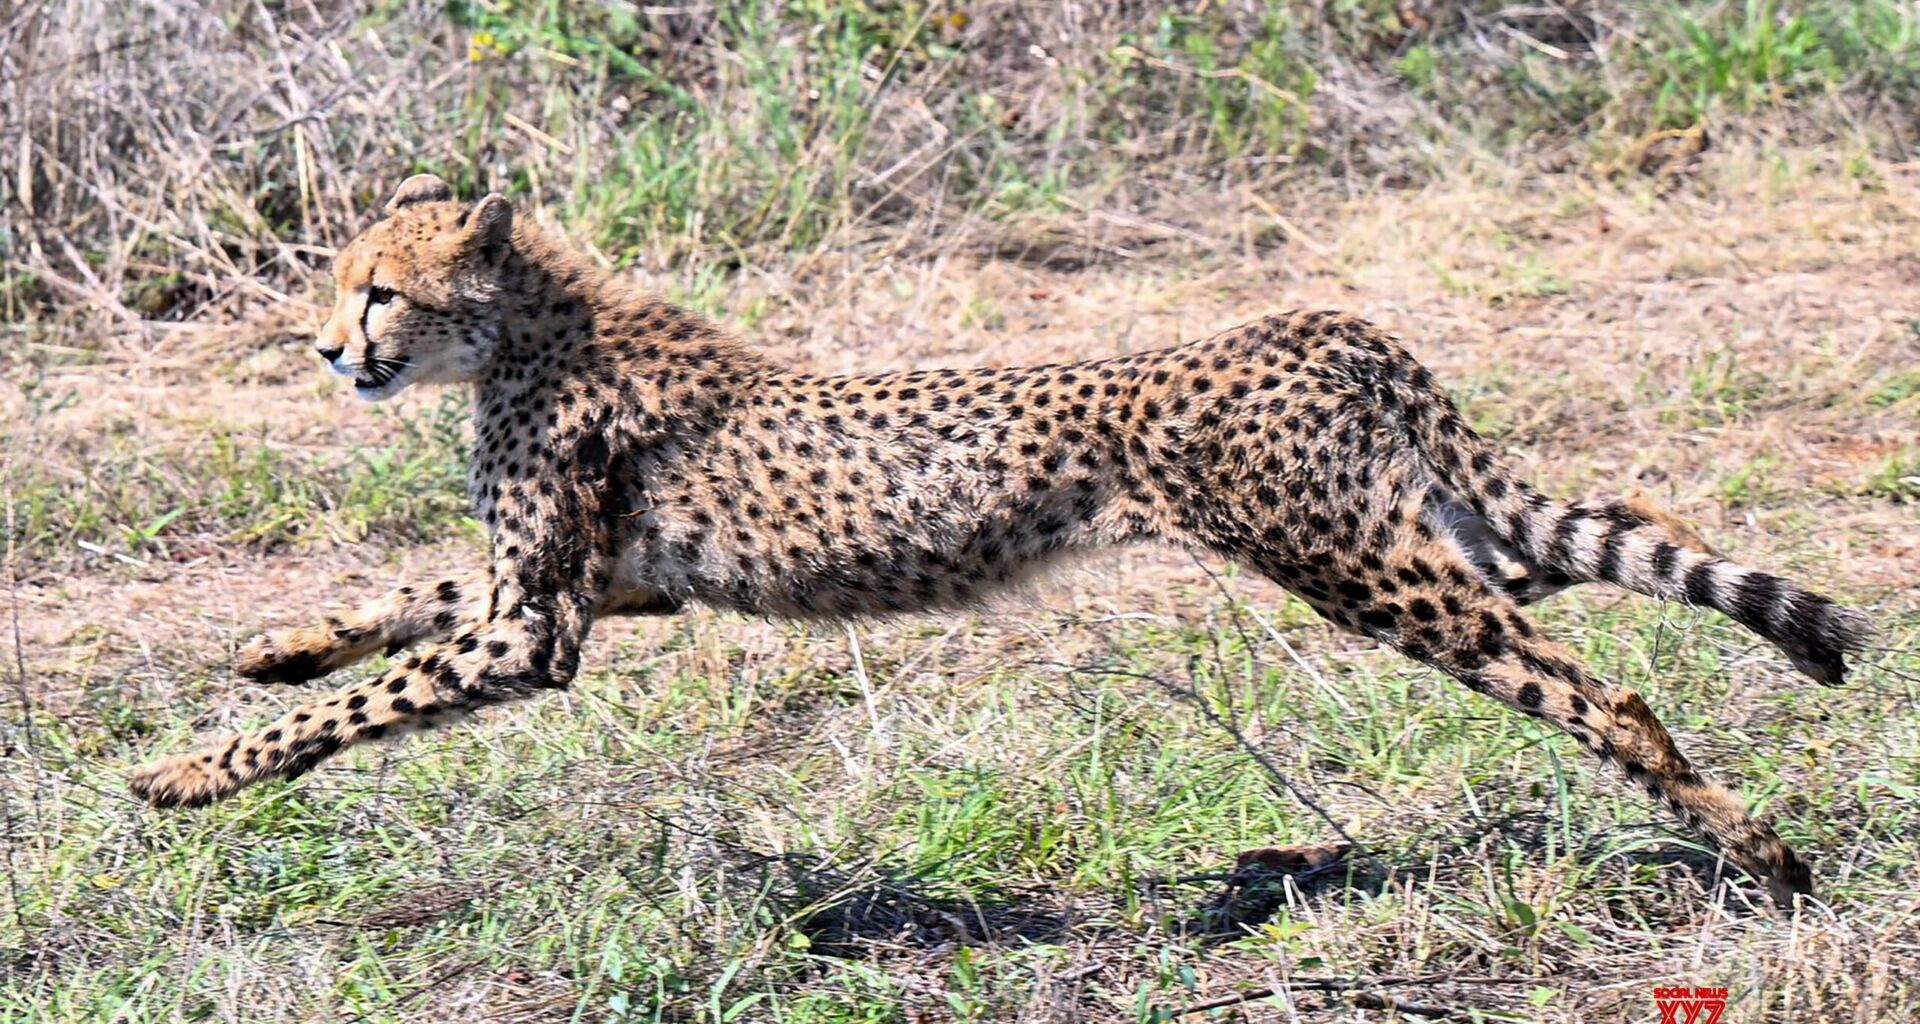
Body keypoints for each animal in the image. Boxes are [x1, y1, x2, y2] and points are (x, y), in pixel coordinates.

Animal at [128, 174, 1876, 905]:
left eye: (379, 291)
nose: (327, 351)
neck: (526, 332)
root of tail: (1314, 320)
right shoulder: (608, 589)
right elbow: (400, 598)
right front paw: (272, 643)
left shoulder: (542, 626)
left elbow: (362, 702)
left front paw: (187, 774)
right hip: (1434, 531)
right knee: (1612, 539)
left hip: (1361, 569)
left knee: (1605, 692)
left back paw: (1764, 854)